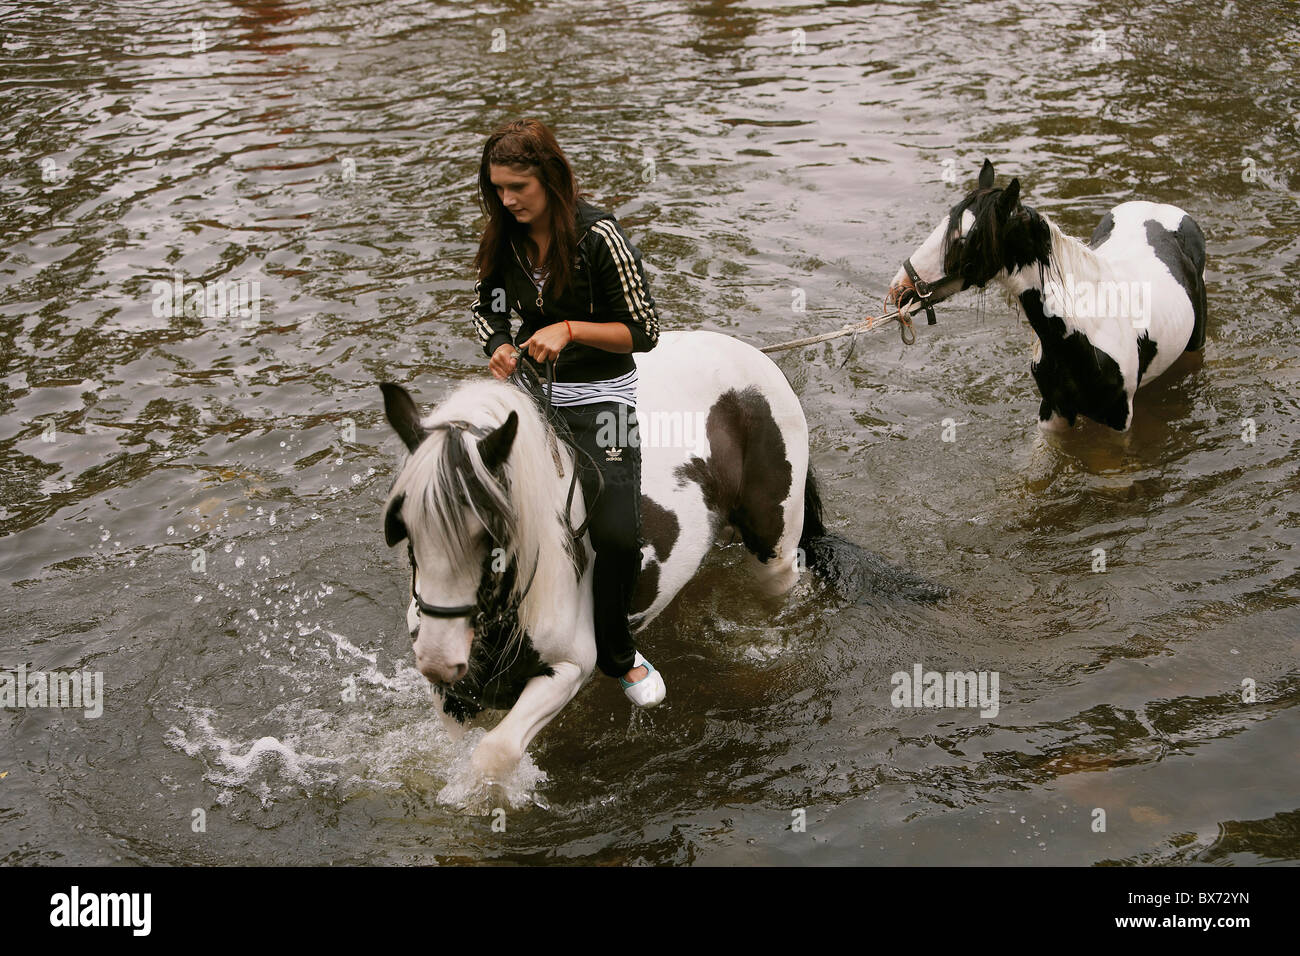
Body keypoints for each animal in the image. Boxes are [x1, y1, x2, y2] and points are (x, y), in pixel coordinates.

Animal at [379, 330, 941, 785]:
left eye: (489, 531)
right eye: (403, 528)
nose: (436, 656)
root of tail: (757, 360)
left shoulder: (570, 667)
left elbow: (493, 755)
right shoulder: (455, 697)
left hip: (775, 553)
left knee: (777, 594)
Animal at [883, 161, 1206, 434]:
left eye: (964, 239)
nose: (899, 288)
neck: (1089, 329)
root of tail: (1158, 206)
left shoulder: (1118, 422)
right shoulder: (1054, 411)